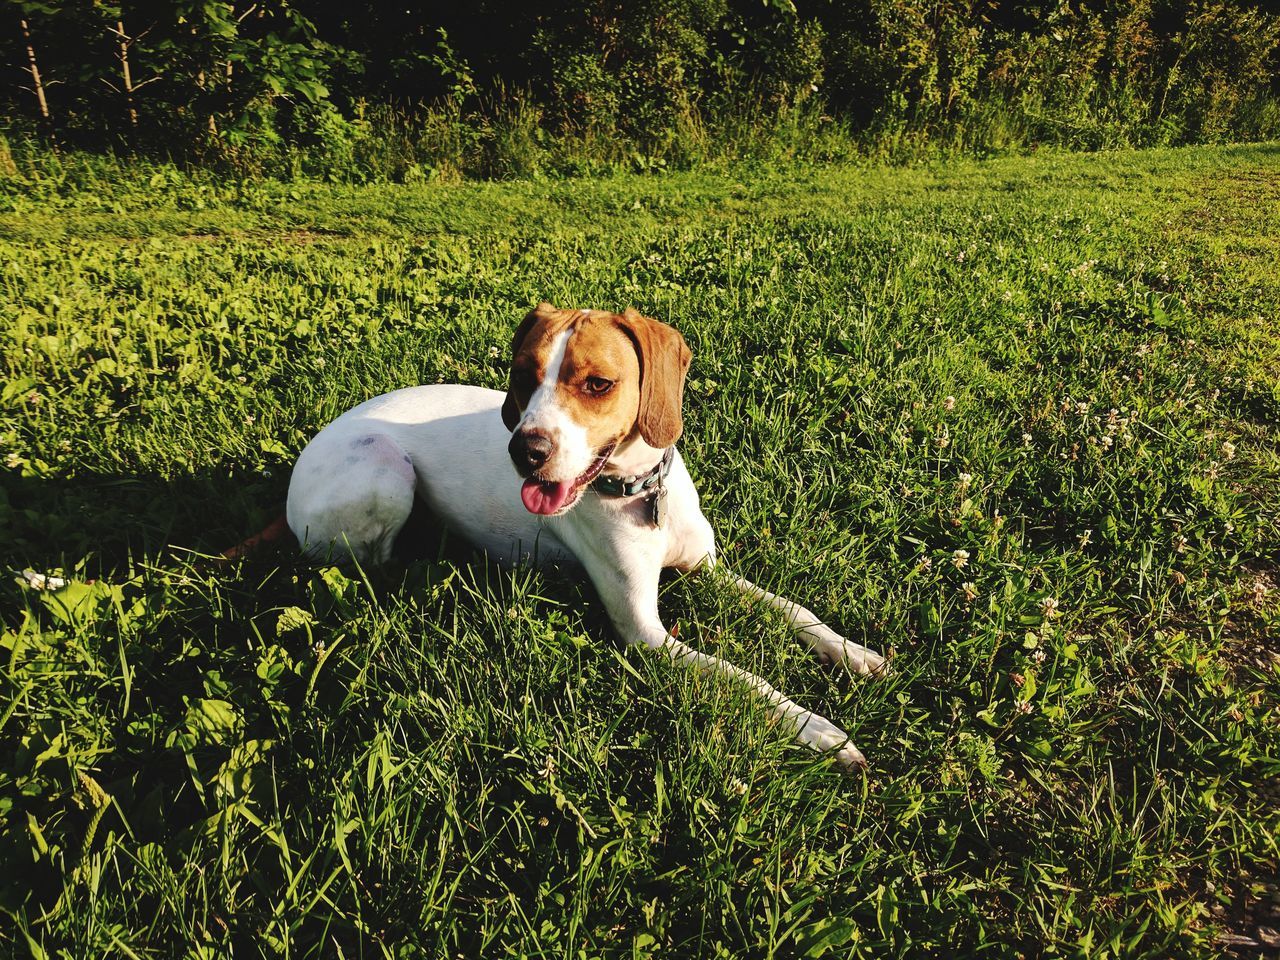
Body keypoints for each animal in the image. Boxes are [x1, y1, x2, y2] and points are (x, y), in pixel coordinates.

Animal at [289, 304, 885, 773]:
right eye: (522, 375)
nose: (524, 451)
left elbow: (794, 609)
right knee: (376, 564)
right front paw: (819, 731)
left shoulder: (707, 568)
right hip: (387, 471)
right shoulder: (646, 634)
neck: (642, 494)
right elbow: (743, 679)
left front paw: (851, 652)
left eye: (598, 384)